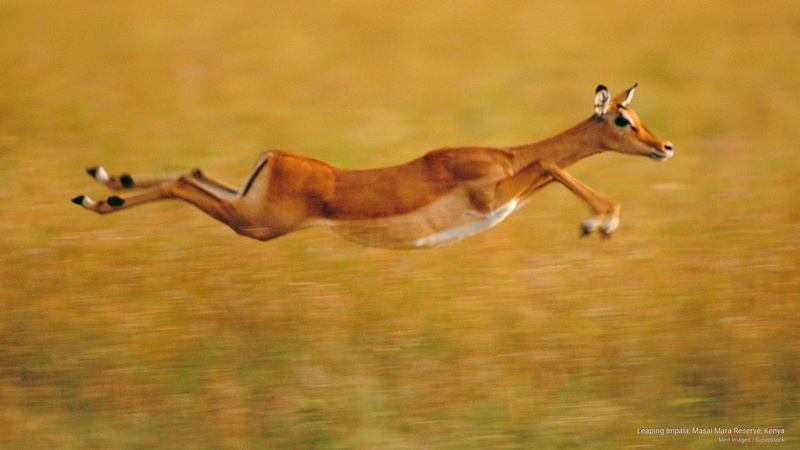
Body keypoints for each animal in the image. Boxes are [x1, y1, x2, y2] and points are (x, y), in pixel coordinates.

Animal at [72, 84, 672, 249]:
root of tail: (275, 158)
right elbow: (551, 160)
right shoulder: (493, 195)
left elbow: (549, 165)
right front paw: (599, 224)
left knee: (191, 174)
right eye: (623, 120)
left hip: (245, 205)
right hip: (257, 224)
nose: (664, 147)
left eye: (638, 116)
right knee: (181, 183)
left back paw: (100, 184)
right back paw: (97, 199)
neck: (503, 155)